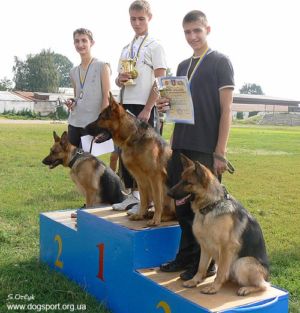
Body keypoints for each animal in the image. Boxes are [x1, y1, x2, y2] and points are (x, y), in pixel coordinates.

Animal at [84, 93, 175, 224]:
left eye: (101, 118)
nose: (84, 128)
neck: (131, 137)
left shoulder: (155, 177)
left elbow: (158, 201)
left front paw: (155, 220)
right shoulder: (140, 179)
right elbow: (143, 200)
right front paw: (140, 214)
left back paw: (160, 217)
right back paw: (149, 214)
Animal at [168, 154, 268, 294]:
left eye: (188, 182)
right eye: (181, 179)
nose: (168, 193)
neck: (210, 207)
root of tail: (267, 274)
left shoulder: (226, 248)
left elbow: (220, 271)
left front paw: (214, 287)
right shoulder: (204, 246)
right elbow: (201, 267)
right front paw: (194, 281)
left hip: (242, 262)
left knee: (264, 285)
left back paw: (246, 289)